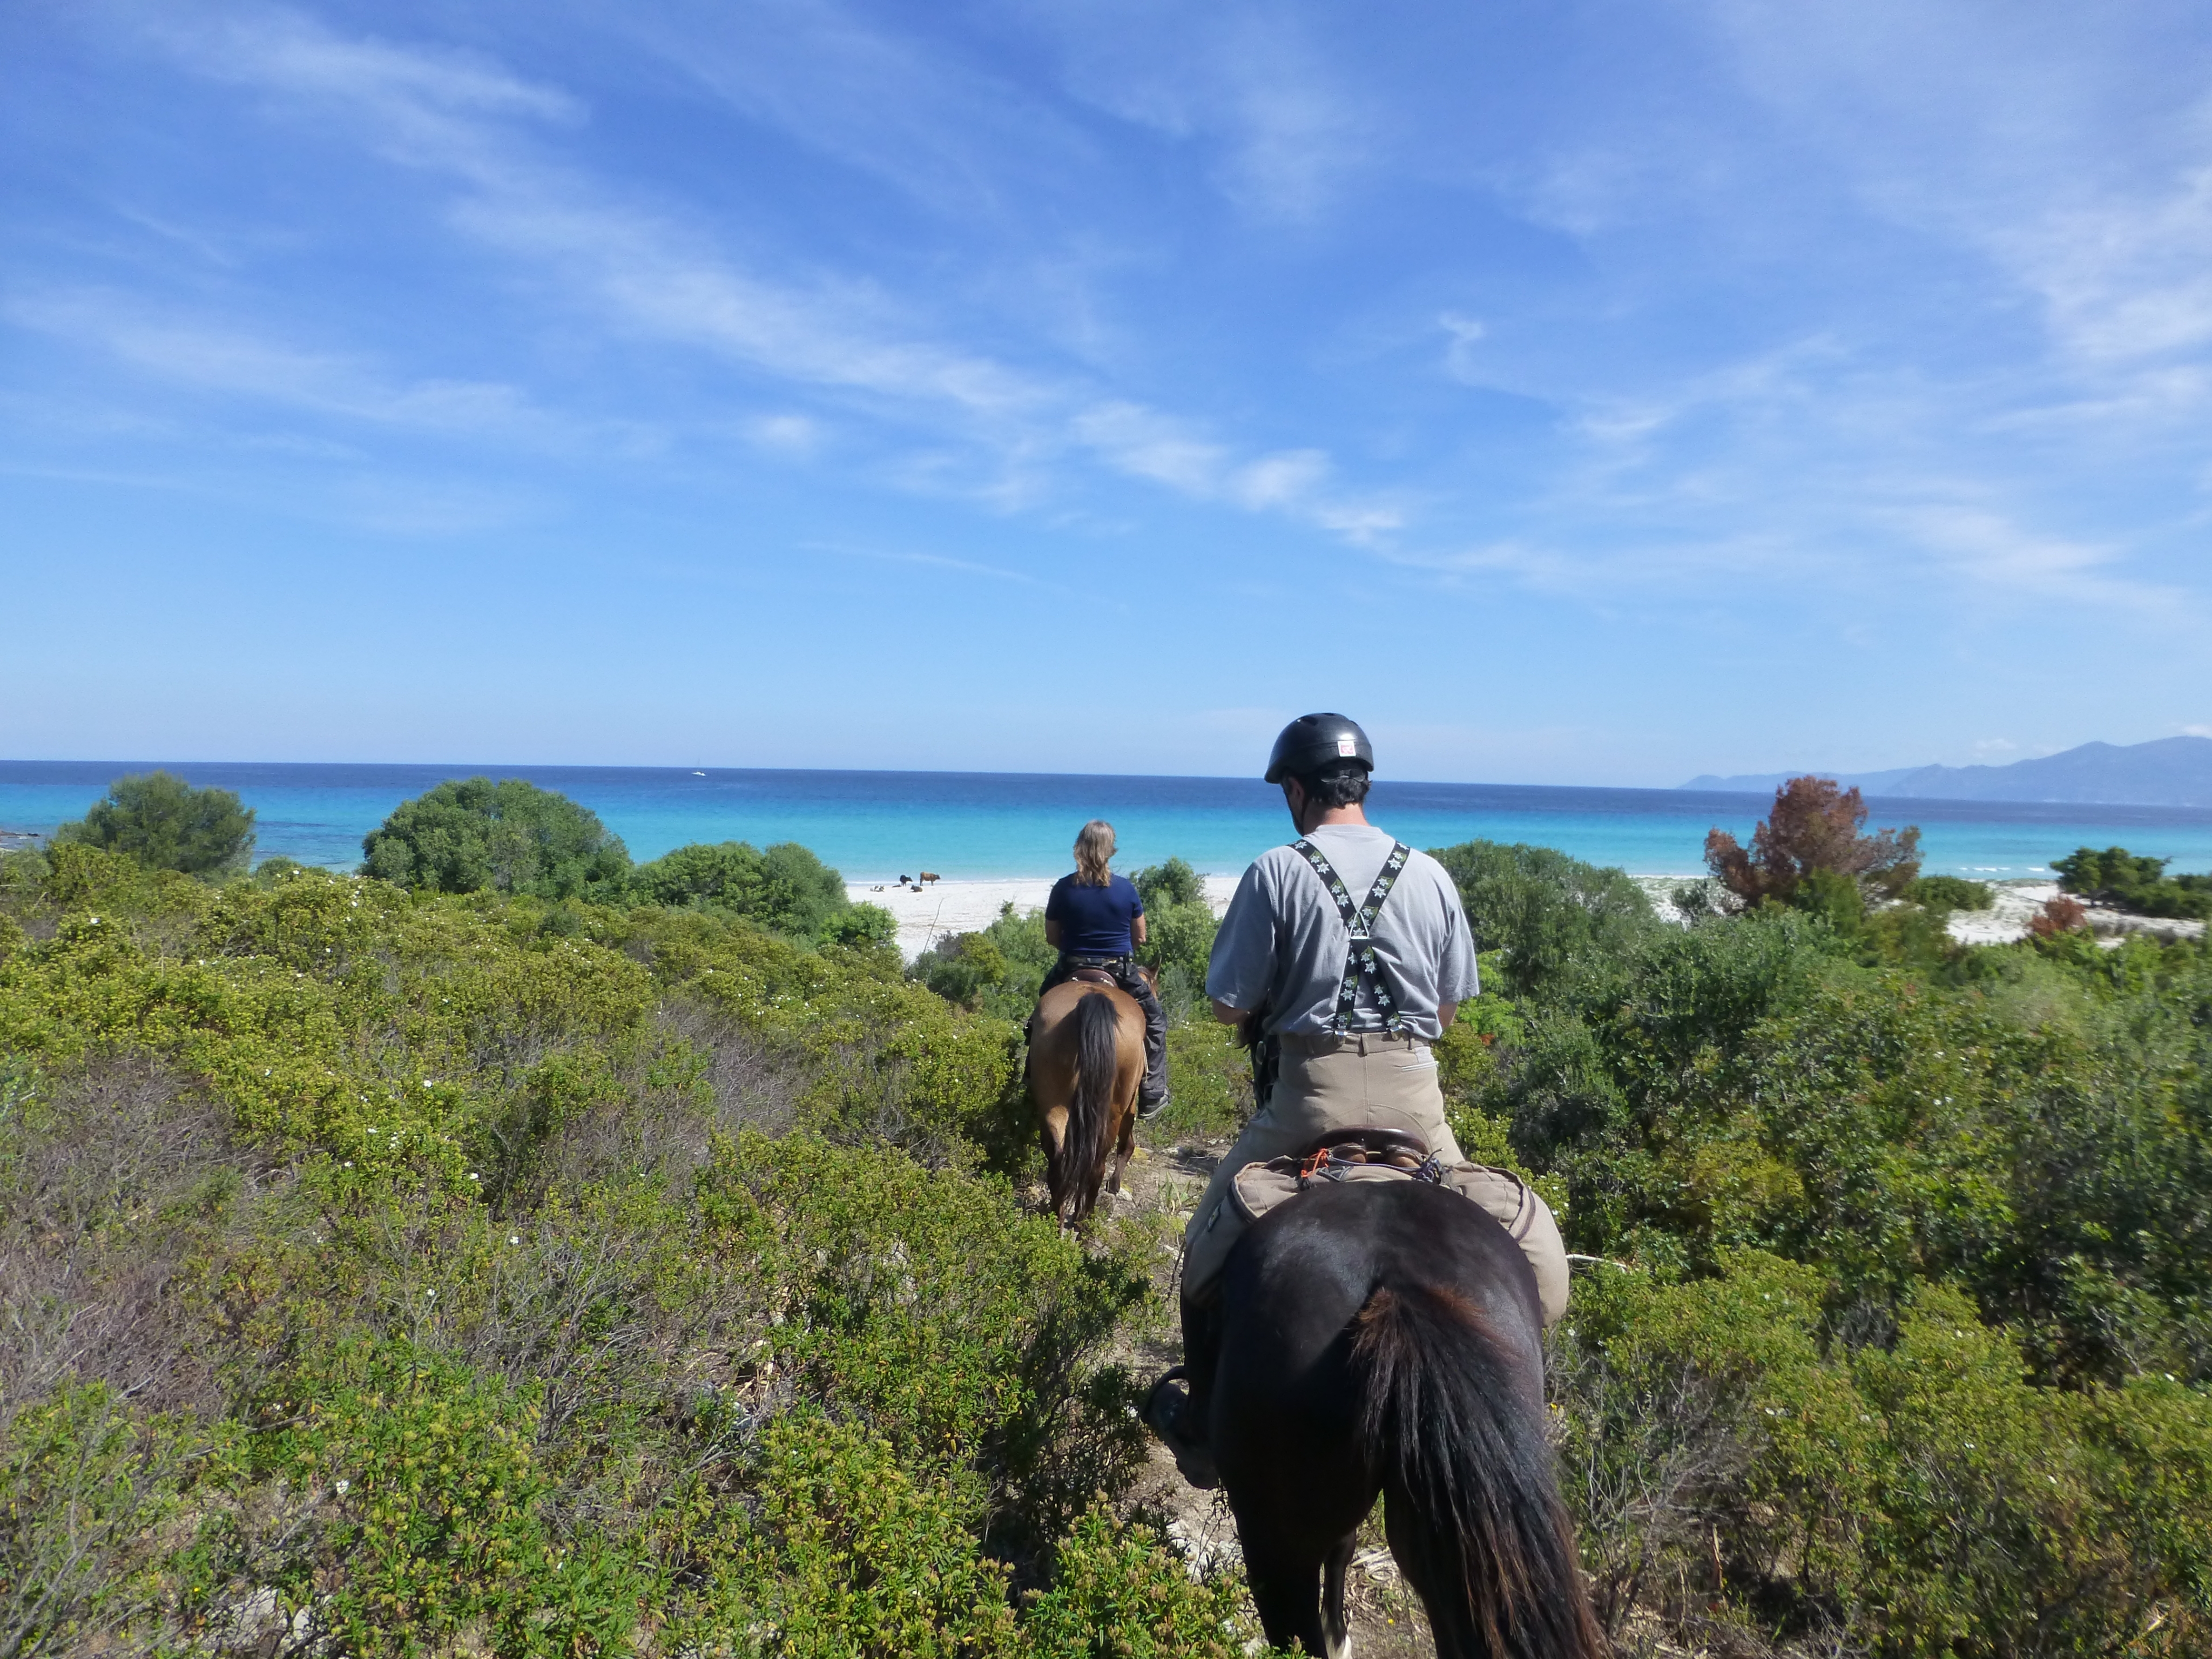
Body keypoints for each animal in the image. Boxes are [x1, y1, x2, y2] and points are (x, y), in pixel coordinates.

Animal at [1025, 970, 1151, 1226]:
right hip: (1114, 1111)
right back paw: (1084, 1223)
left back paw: (1056, 1220)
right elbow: (1128, 1145)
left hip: (1054, 1104)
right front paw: (1115, 1185)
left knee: (1059, 1158)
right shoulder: (1131, 1106)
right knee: (1096, 1167)